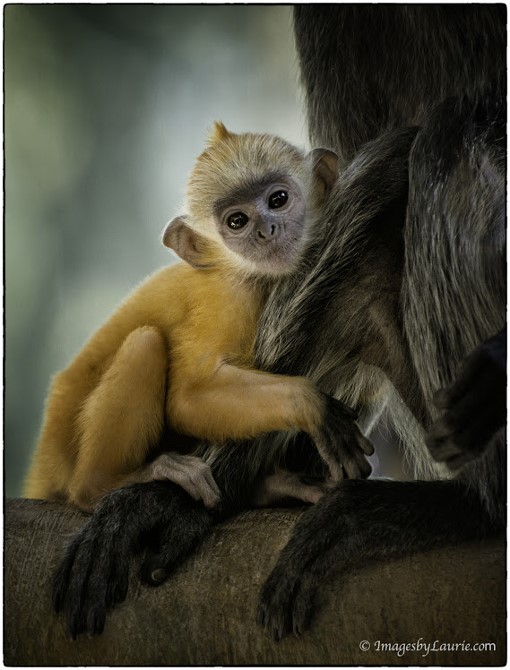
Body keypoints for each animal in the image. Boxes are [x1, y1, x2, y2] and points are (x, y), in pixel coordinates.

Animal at [25, 121, 372, 514]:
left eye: (278, 200)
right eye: (237, 221)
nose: (266, 231)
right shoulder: (226, 296)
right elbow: (189, 394)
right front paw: (311, 403)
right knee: (145, 344)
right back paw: (105, 483)